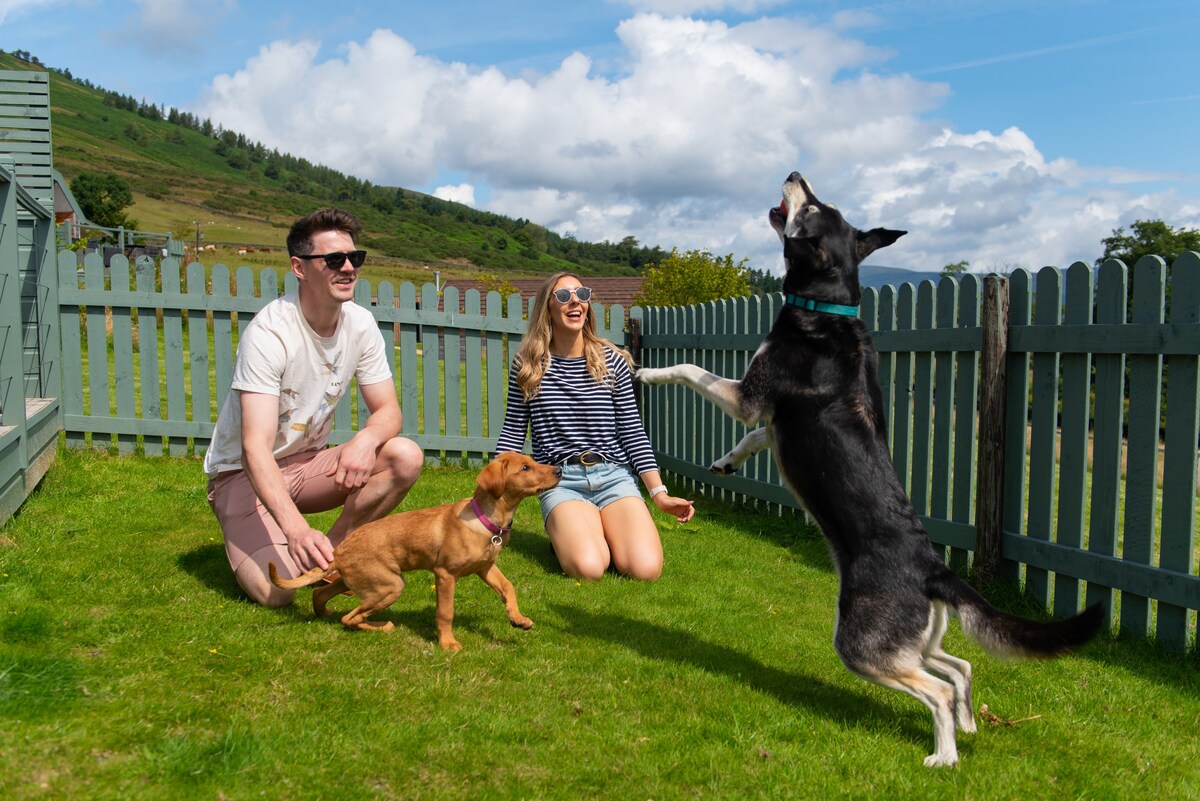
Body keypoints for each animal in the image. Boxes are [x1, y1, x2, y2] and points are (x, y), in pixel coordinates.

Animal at [270, 450, 559, 652]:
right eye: (525, 467)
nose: (558, 469)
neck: (485, 519)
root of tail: (340, 549)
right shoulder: (445, 575)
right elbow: (445, 612)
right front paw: (447, 643)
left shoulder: (485, 568)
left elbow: (508, 587)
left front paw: (518, 618)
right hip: (389, 585)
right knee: (349, 618)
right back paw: (381, 626)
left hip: (357, 580)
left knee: (322, 594)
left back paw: (326, 614)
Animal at [643, 172, 1099, 767]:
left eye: (810, 207)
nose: (795, 174)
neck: (827, 308)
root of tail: (935, 569)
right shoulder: (776, 420)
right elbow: (756, 436)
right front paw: (726, 461)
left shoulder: (750, 395)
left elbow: (690, 368)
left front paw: (647, 373)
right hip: (917, 641)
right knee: (960, 667)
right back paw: (969, 726)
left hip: (861, 643)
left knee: (937, 688)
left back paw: (944, 755)